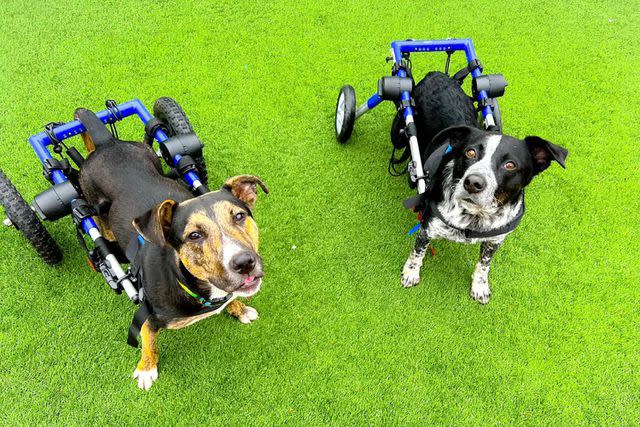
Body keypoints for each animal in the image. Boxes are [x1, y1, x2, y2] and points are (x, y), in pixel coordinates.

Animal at [392, 72, 568, 304]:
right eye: (470, 152)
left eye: (510, 165)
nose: (473, 183)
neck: (473, 218)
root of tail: (437, 74)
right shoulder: (427, 228)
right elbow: (417, 252)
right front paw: (411, 273)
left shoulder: (494, 241)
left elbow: (484, 265)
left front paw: (480, 286)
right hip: (400, 132)